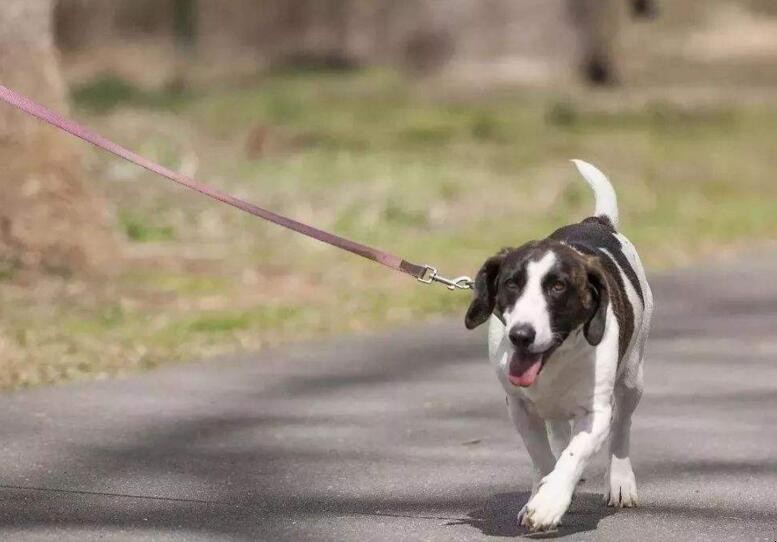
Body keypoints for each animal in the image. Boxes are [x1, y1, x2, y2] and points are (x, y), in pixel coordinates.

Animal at [464, 159, 652, 532]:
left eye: (558, 287)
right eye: (511, 284)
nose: (521, 335)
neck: (556, 361)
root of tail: (596, 222)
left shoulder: (596, 413)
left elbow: (575, 454)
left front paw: (549, 503)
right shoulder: (519, 408)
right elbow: (542, 455)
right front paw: (542, 491)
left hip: (632, 379)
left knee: (621, 428)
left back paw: (620, 481)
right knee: (559, 432)